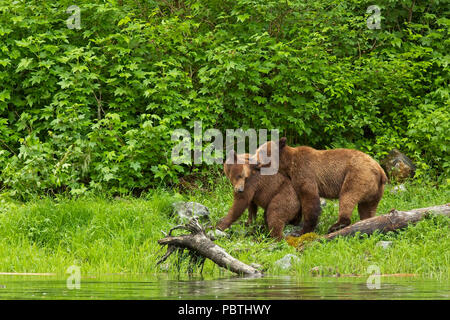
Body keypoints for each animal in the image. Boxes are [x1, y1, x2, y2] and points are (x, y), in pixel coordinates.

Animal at [253, 139, 386, 235]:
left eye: (261, 152)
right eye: (257, 150)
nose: (253, 161)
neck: (288, 165)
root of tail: (380, 171)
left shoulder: (304, 171)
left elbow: (309, 199)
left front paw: (302, 230)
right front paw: (294, 221)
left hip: (356, 175)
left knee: (348, 196)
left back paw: (337, 225)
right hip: (375, 191)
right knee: (367, 208)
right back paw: (367, 221)